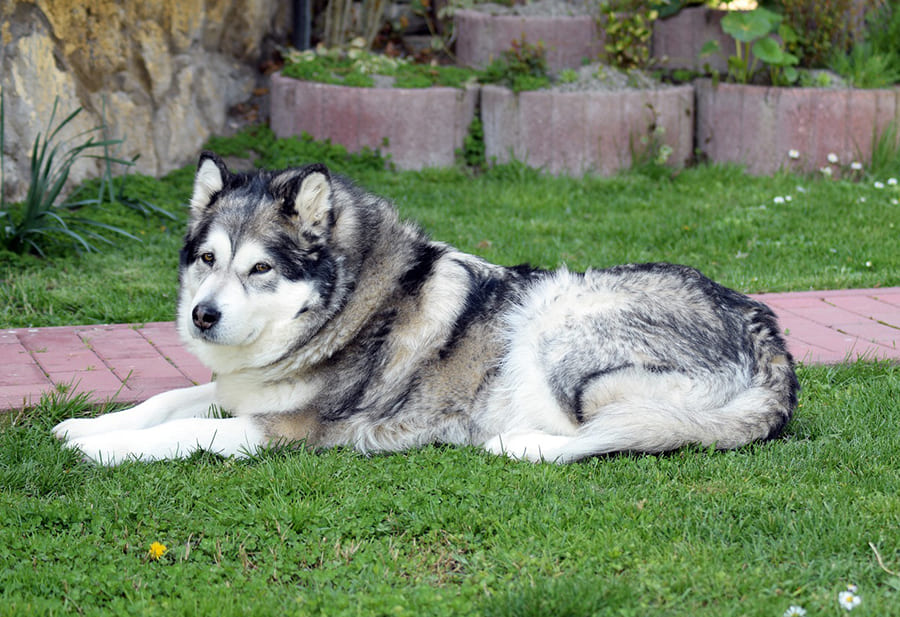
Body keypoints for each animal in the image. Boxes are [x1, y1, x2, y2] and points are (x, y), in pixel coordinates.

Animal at [52, 152, 800, 464]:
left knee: (620, 433)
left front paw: (105, 449)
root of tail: (769, 335)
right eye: (207, 259)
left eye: (260, 268)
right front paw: (86, 425)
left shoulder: (290, 428)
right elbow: (168, 399)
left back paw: (519, 443)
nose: (202, 317)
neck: (345, 309)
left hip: (559, 328)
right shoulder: (240, 389)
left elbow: (185, 431)